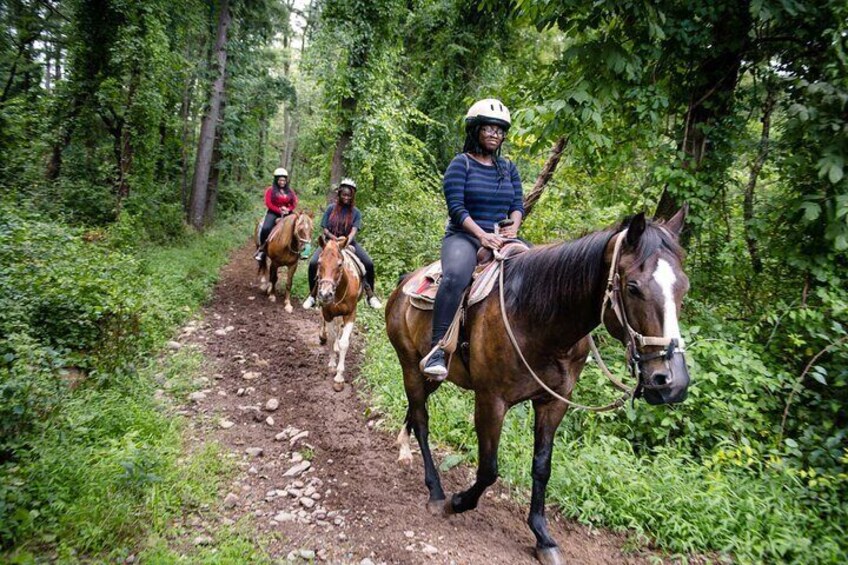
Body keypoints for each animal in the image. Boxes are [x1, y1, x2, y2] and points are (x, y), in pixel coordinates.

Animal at [314, 236, 362, 390]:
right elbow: (331, 337)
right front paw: (332, 365)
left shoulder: (351, 314)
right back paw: (323, 336)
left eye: (340, 264)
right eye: (319, 263)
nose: (326, 294)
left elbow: (344, 343)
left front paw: (339, 378)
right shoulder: (327, 312)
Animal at [384, 208, 688, 564]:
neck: (537, 317)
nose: (672, 382)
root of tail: (405, 283)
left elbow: (542, 467)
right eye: (633, 287)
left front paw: (543, 537)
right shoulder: (491, 401)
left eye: (684, 288)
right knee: (422, 420)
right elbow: (489, 468)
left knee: (414, 409)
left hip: (430, 376)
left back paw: (404, 447)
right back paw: (435, 491)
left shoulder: (554, 402)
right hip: (410, 364)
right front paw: (457, 502)